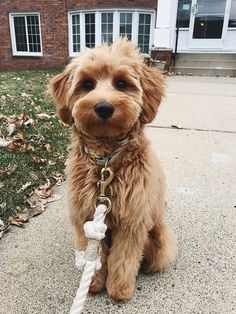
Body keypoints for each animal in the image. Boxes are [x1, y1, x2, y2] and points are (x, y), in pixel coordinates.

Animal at [50, 38, 178, 302]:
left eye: (121, 84)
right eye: (87, 84)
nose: (104, 107)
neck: (106, 161)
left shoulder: (131, 222)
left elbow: (124, 258)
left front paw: (119, 289)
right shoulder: (86, 218)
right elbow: (94, 255)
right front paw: (92, 283)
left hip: (161, 239)